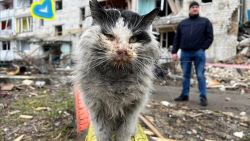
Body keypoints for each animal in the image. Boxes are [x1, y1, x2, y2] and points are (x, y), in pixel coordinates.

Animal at [73, 0, 158, 140]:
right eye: (109, 36)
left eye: (133, 39)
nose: (122, 50)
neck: (116, 79)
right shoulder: (97, 109)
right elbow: (102, 134)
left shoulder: (132, 111)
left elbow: (124, 134)